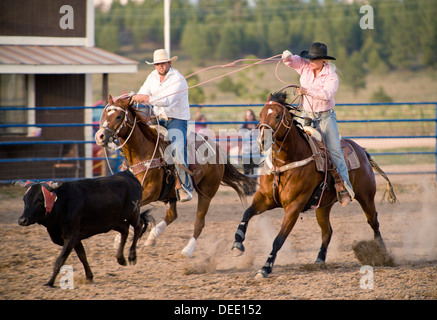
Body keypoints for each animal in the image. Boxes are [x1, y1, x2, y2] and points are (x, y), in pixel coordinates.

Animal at [95, 94, 255, 258]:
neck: (143, 153)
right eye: (105, 114)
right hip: (171, 194)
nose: (99, 136)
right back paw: (152, 237)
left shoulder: (150, 192)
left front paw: (120, 237)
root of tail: (216, 147)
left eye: (119, 116)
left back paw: (188, 249)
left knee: (199, 222)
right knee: (172, 215)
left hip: (207, 192)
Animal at [230, 90, 396, 278]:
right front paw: (237, 244)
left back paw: (382, 253)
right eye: (261, 114)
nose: (262, 142)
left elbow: (278, 240)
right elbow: (247, 213)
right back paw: (319, 259)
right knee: (327, 231)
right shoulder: (265, 198)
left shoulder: (294, 207)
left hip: (366, 197)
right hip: (323, 206)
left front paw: (265, 268)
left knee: (373, 221)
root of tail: (363, 151)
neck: (286, 162)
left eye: (278, 115)